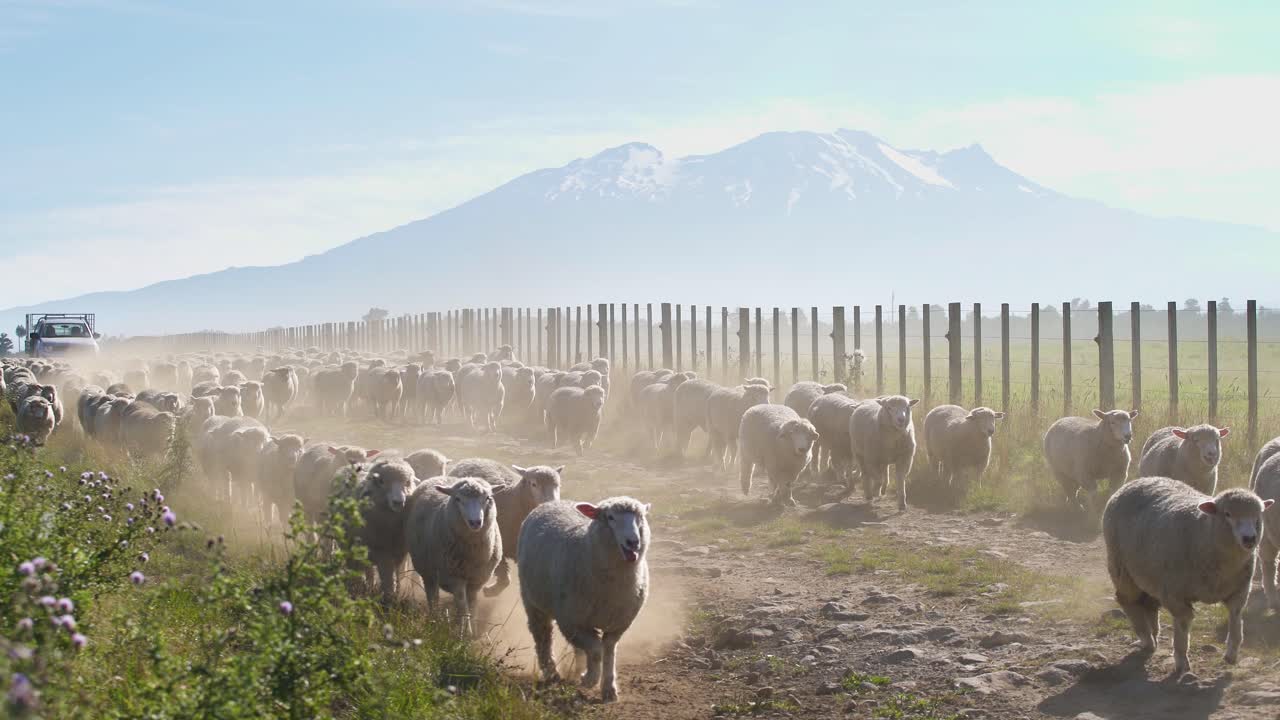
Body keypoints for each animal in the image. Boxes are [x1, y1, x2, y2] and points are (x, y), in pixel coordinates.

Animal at [406, 477, 502, 636]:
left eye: (488, 498)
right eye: (458, 499)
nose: (476, 522)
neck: (472, 552)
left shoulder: (476, 580)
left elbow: (472, 603)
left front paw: (472, 630)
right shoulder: (455, 578)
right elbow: (462, 604)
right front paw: (465, 632)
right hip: (428, 572)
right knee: (433, 596)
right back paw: (435, 620)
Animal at [448, 460, 563, 597]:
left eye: (558, 485)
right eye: (533, 484)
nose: (552, 504)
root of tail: (471, 459)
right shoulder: (497, 546)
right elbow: (504, 579)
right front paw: (490, 590)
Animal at [518, 497, 650, 703]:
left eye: (640, 518)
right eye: (610, 517)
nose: (633, 542)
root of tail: (554, 502)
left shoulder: (617, 624)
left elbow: (608, 651)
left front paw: (609, 689)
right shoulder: (570, 621)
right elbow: (595, 650)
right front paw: (589, 679)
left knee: (579, 646)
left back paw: (577, 666)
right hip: (533, 600)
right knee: (542, 635)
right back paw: (551, 672)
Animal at [1102, 477, 1273, 676]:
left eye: (1258, 515)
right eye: (1227, 514)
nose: (1249, 539)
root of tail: (1139, 480)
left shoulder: (1239, 590)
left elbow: (1235, 619)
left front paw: (1231, 654)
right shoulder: (1175, 594)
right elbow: (1183, 625)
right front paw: (1181, 661)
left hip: (1150, 574)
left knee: (1149, 603)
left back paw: (1153, 632)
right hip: (1121, 566)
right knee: (1127, 600)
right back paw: (1146, 638)